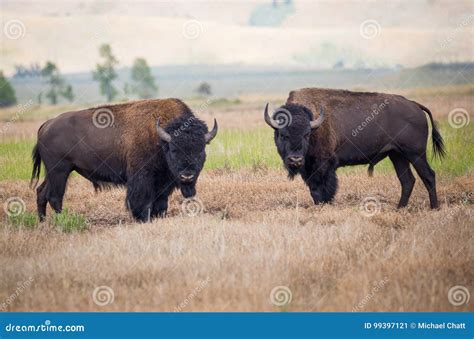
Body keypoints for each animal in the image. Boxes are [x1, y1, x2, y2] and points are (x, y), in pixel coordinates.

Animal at [31, 97, 218, 223]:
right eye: (173, 149)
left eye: (201, 149)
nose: (187, 176)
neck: (160, 137)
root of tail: (46, 125)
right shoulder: (142, 178)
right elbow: (142, 201)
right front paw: (142, 219)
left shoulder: (163, 182)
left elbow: (161, 203)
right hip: (59, 171)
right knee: (55, 196)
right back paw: (61, 220)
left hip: (54, 172)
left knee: (42, 192)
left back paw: (43, 221)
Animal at [264, 87, 442, 210]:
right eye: (283, 135)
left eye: (306, 134)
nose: (295, 159)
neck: (314, 124)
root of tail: (415, 105)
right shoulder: (308, 169)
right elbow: (314, 190)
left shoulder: (324, 166)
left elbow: (324, 189)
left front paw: (325, 205)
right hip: (397, 155)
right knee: (407, 180)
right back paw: (399, 208)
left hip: (416, 154)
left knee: (428, 175)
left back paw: (434, 207)